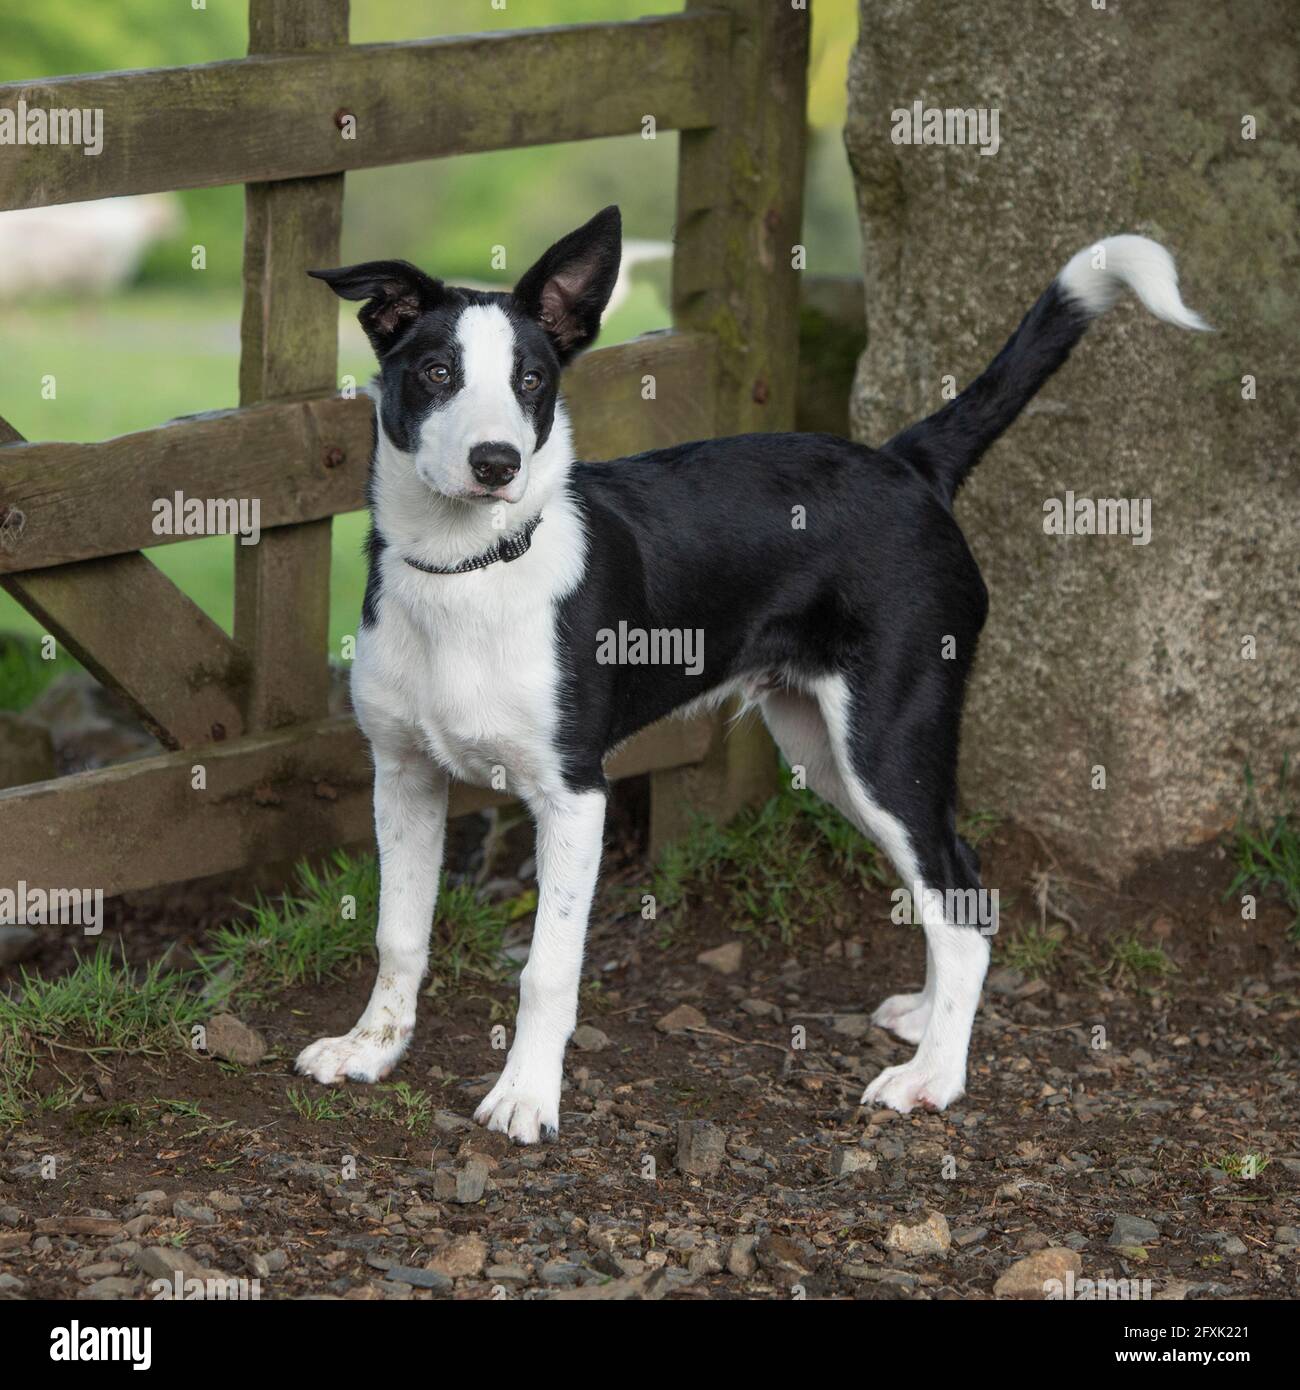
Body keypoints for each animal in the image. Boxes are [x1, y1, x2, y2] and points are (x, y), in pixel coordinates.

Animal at [294, 205, 1212, 1139]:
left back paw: (934, 1076)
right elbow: (398, 935)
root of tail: (907, 463)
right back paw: (926, 1017)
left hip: (888, 743)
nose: (496, 463)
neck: (468, 571)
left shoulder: (574, 795)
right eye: (437, 371)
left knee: (957, 896)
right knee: (955, 876)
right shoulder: (403, 775)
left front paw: (526, 1094)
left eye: (531, 381)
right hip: (825, 753)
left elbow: (546, 969)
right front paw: (371, 1048)